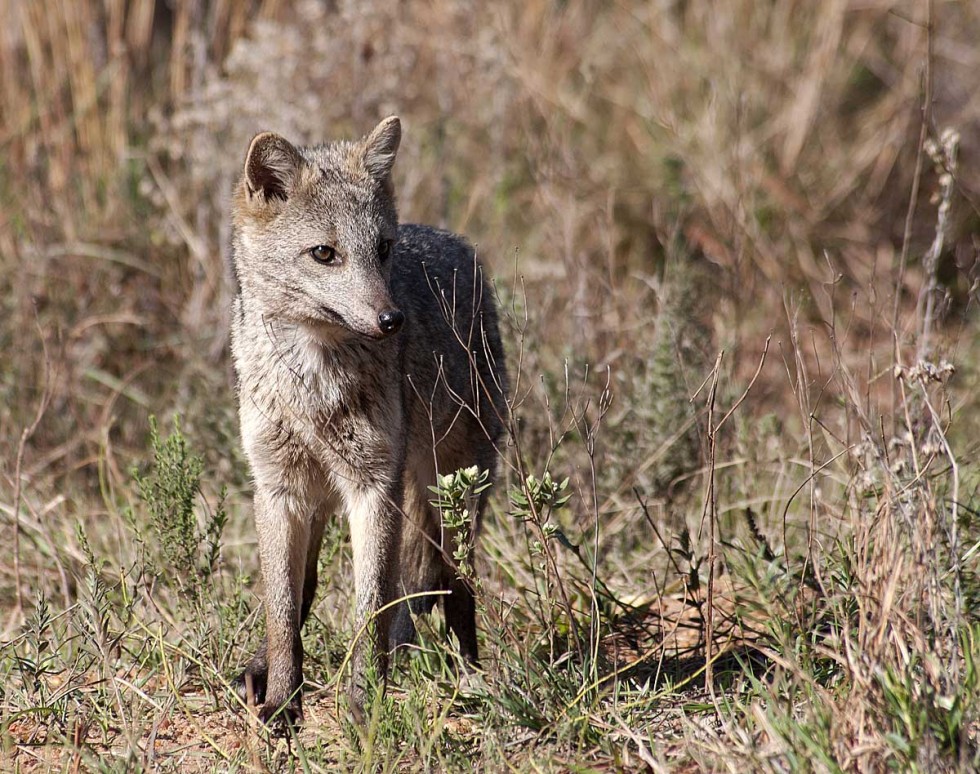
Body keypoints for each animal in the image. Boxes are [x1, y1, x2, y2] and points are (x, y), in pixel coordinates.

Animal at [228, 116, 506, 728]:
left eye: (382, 250)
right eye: (324, 253)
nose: (391, 319)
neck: (312, 385)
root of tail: (457, 243)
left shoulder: (375, 486)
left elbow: (371, 607)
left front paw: (362, 702)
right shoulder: (277, 488)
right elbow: (282, 609)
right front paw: (282, 701)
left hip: (453, 493)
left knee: (455, 589)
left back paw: (472, 680)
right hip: (326, 501)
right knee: (306, 589)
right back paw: (260, 672)